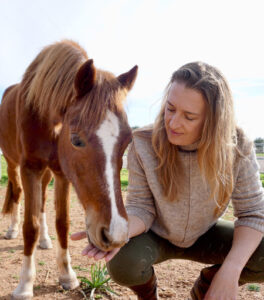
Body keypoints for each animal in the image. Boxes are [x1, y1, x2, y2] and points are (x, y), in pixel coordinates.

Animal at [1, 40, 138, 300]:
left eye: (127, 141)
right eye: (76, 140)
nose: (116, 234)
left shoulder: (61, 172)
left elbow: (62, 223)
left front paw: (66, 275)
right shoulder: (30, 168)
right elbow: (30, 225)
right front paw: (25, 284)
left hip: (46, 174)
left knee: (42, 203)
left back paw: (45, 239)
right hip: (13, 164)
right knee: (17, 193)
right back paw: (11, 229)